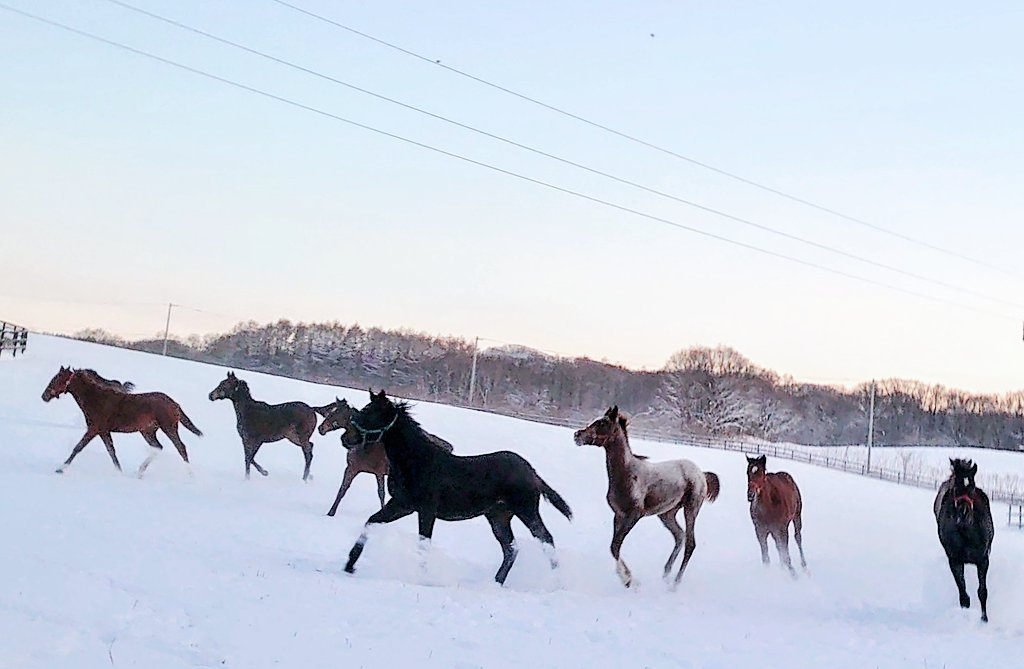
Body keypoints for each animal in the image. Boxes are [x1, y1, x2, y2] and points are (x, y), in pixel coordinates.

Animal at [41, 364, 201, 475]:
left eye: (57, 379)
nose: (44, 396)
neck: (97, 399)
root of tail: (175, 404)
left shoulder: (94, 429)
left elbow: (78, 447)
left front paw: (60, 469)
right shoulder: (103, 431)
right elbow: (111, 451)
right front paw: (119, 472)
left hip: (168, 428)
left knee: (181, 448)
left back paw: (191, 477)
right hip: (148, 431)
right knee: (158, 447)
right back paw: (139, 472)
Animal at [313, 397, 454, 516]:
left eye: (336, 413)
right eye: (329, 412)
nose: (321, 428)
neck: (366, 444)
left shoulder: (379, 472)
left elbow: (381, 494)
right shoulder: (352, 468)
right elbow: (342, 490)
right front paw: (331, 512)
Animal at [937, 458, 991, 622]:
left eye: (971, 486)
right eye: (956, 486)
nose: (963, 514)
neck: (967, 534)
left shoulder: (983, 560)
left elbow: (982, 592)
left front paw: (984, 619)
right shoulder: (955, 561)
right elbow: (963, 593)